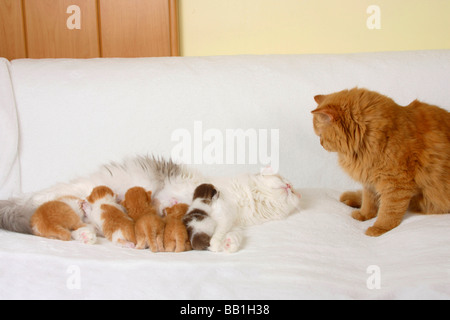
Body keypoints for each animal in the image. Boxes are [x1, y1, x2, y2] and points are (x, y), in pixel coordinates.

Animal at [0, 156, 302, 252]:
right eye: (283, 179)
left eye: (293, 190)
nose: (291, 187)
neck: (244, 201)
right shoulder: (210, 197)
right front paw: (217, 242)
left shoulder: (232, 220)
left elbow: (232, 233)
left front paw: (225, 244)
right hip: (69, 195)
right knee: (39, 210)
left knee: (68, 230)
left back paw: (86, 235)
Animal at [312, 87, 450, 235]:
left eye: (320, 135)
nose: (321, 144)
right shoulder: (369, 180)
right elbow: (369, 202)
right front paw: (364, 215)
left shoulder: (396, 183)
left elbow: (388, 211)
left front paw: (378, 228)